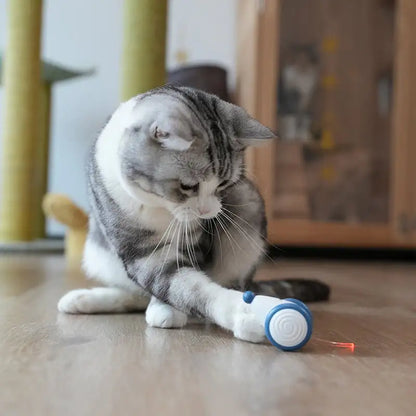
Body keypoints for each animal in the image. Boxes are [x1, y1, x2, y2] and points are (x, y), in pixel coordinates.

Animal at [57, 86, 328, 342]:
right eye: (188, 186)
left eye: (223, 184)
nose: (207, 212)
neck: (161, 207)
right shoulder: (138, 247)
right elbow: (175, 283)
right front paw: (247, 314)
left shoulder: (195, 240)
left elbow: (184, 282)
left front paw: (167, 309)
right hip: (96, 254)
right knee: (136, 291)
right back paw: (84, 299)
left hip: (248, 206)